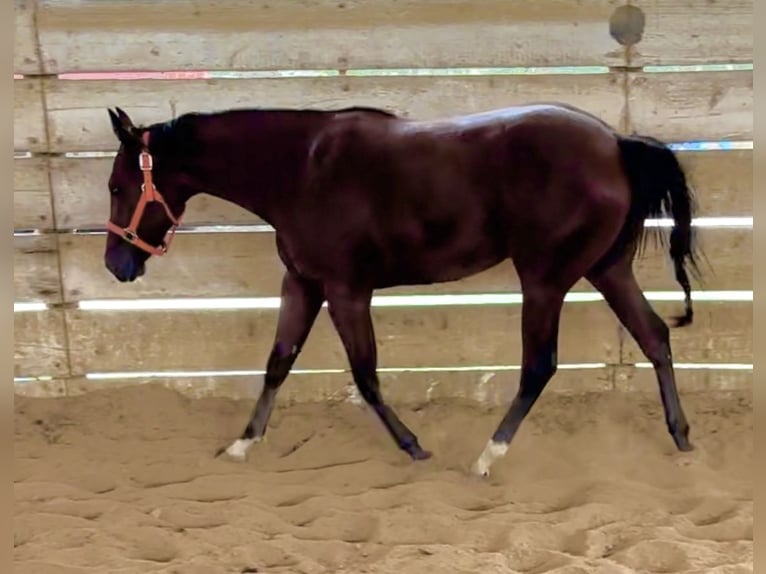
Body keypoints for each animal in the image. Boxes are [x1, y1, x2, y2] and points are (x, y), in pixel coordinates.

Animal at [105, 101, 704, 480]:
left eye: (116, 185)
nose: (117, 264)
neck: (302, 170)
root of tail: (616, 143)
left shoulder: (346, 289)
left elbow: (365, 376)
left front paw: (415, 446)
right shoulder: (303, 282)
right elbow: (279, 361)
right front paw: (241, 443)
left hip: (545, 278)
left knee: (540, 365)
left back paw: (487, 457)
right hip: (606, 268)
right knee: (654, 336)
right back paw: (681, 437)